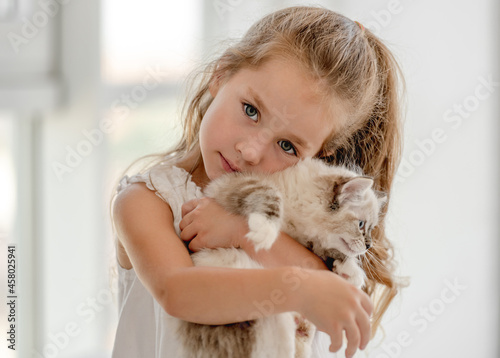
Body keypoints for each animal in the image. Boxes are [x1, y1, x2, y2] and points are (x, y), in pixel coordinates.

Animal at [176, 157, 386, 358]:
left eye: (370, 229)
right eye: (361, 225)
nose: (369, 245)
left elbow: (328, 252)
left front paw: (351, 272)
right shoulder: (236, 182)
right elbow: (270, 195)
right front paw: (265, 229)